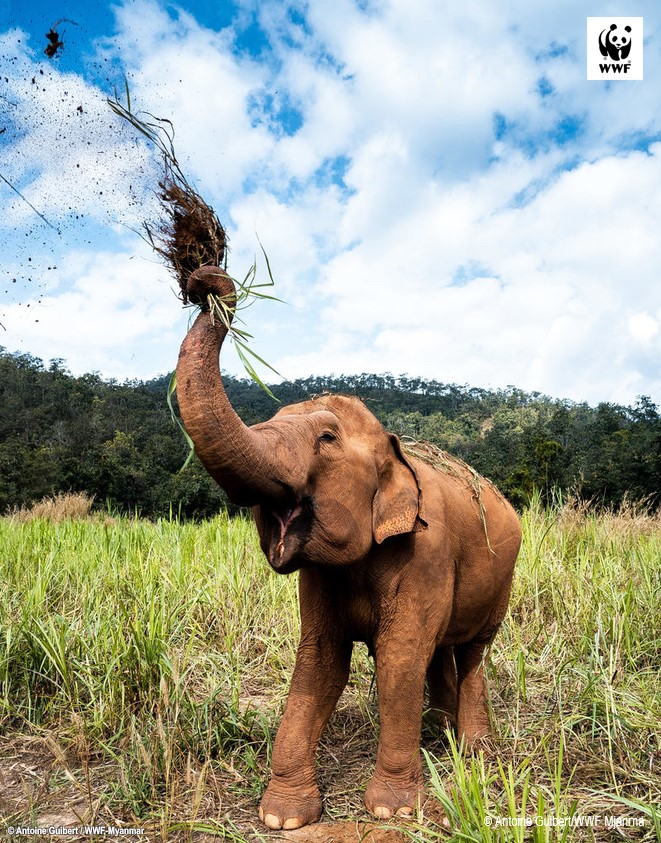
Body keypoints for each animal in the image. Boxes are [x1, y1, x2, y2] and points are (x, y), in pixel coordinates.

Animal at [175, 266, 520, 832]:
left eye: (327, 438)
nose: (206, 278)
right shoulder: (319, 575)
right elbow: (321, 659)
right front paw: (283, 817)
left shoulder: (426, 552)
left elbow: (398, 657)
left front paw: (391, 809)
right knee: (441, 651)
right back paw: (439, 734)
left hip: (501, 585)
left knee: (472, 650)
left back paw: (473, 751)